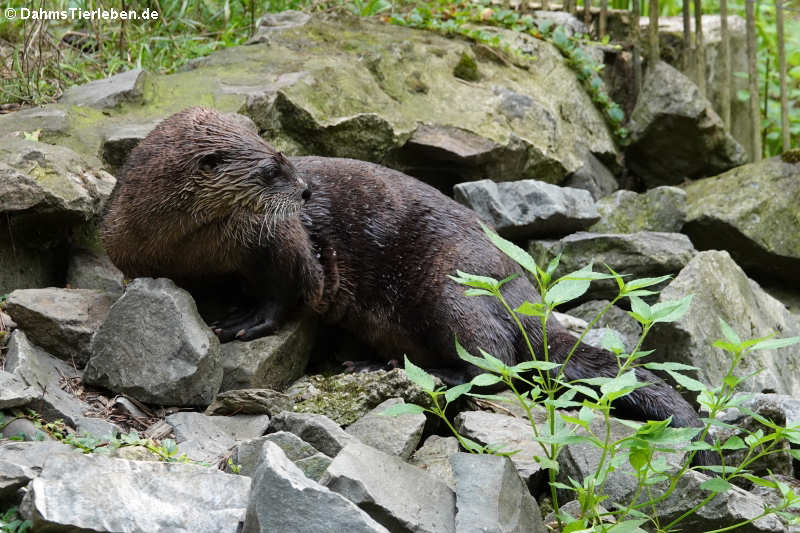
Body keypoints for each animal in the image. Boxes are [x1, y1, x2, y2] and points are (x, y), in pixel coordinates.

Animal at [104, 107, 712, 462]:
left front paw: (243, 320)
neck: (190, 248)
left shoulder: (282, 242)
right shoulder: (128, 248)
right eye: (270, 170)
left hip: (455, 291)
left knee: (496, 364)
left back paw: (428, 374)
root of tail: (526, 294)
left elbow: (288, 292)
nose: (304, 191)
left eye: (283, 155)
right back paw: (366, 363)